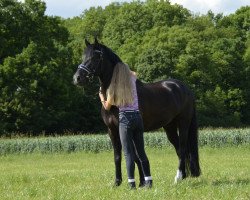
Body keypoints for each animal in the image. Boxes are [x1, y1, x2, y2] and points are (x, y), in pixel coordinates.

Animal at [73, 39, 200, 186]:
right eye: (83, 56)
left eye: (95, 57)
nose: (77, 78)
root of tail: (185, 88)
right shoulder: (112, 130)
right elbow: (118, 156)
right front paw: (118, 182)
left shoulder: (127, 129)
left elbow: (134, 156)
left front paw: (141, 182)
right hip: (170, 127)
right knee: (179, 149)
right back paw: (183, 176)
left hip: (183, 123)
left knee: (183, 148)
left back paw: (178, 177)